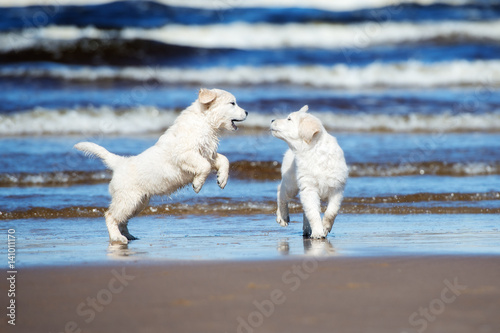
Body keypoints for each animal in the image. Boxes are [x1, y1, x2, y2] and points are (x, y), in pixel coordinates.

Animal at [74, 88, 246, 244]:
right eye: (232, 103)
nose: (247, 112)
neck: (204, 121)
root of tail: (119, 163)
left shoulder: (208, 154)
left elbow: (223, 160)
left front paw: (222, 179)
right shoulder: (185, 154)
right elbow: (204, 166)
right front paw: (197, 185)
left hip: (138, 202)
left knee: (122, 220)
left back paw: (128, 236)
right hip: (128, 199)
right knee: (110, 215)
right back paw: (118, 238)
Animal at [270, 105, 348, 237]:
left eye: (289, 119)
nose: (272, 120)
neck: (313, 151)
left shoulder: (337, 189)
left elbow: (331, 212)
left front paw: (325, 227)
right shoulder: (309, 188)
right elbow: (313, 214)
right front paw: (318, 232)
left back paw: (306, 229)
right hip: (291, 184)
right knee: (281, 191)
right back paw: (283, 217)